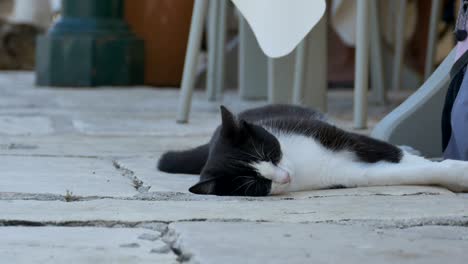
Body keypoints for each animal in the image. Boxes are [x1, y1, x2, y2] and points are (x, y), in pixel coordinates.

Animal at [157, 104, 468, 196]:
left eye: (270, 153)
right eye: (257, 184)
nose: (285, 177)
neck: (299, 162)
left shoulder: (336, 136)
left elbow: (393, 153)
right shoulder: (344, 174)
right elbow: (388, 174)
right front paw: (457, 175)